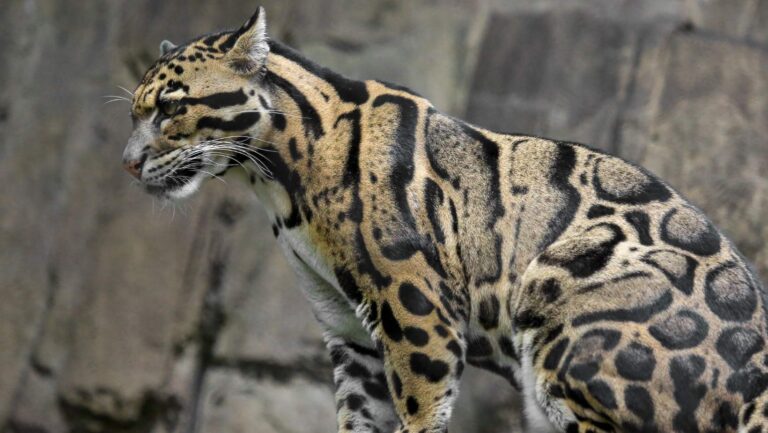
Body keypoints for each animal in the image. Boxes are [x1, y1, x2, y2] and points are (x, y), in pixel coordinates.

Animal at [122, 6, 768, 433]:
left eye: (171, 109)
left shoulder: (416, 311)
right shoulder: (349, 332)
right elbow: (359, 420)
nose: (127, 163)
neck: (275, 179)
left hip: (561, 307)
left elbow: (420, 411)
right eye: (136, 113)